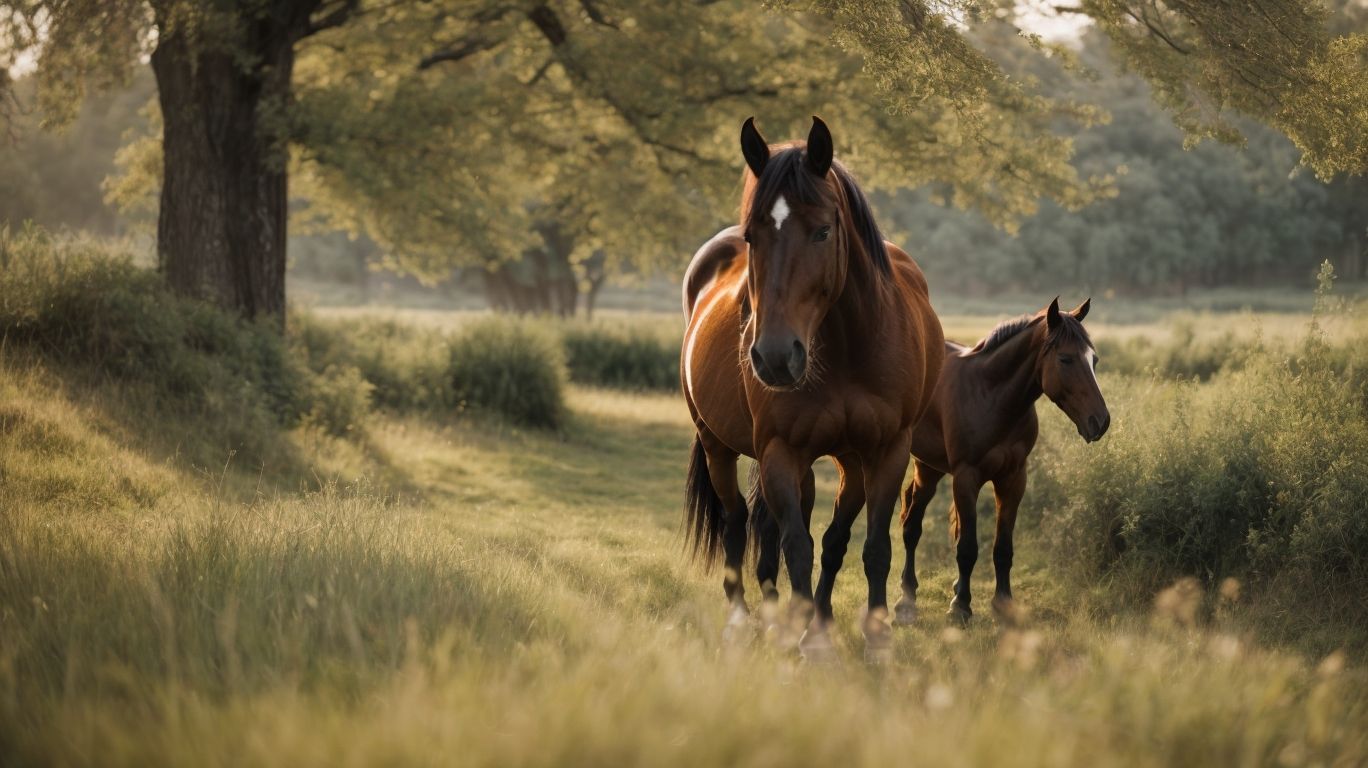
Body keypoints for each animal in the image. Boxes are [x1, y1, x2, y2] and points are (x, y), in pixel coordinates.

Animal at [681, 116, 944, 658]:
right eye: (753, 236)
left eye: (823, 230)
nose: (775, 356)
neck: (846, 350)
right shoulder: (781, 450)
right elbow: (796, 546)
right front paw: (807, 640)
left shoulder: (886, 450)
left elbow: (866, 545)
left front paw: (868, 635)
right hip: (719, 445)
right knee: (739, 521)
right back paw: (745, 619)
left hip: (844, 459)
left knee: (810, 531)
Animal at [810, 298, 1109, 627]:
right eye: (1066, 359)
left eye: (1093, 360)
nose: (1100, 421)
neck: (991, 395)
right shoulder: (967, 477)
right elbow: (967, 547)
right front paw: (960, 607)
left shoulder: (1014, 479)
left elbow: (1003, 548)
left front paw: (1004, 604)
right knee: (911, 527)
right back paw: (906, 600)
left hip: (930, 468)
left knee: (912, 519)